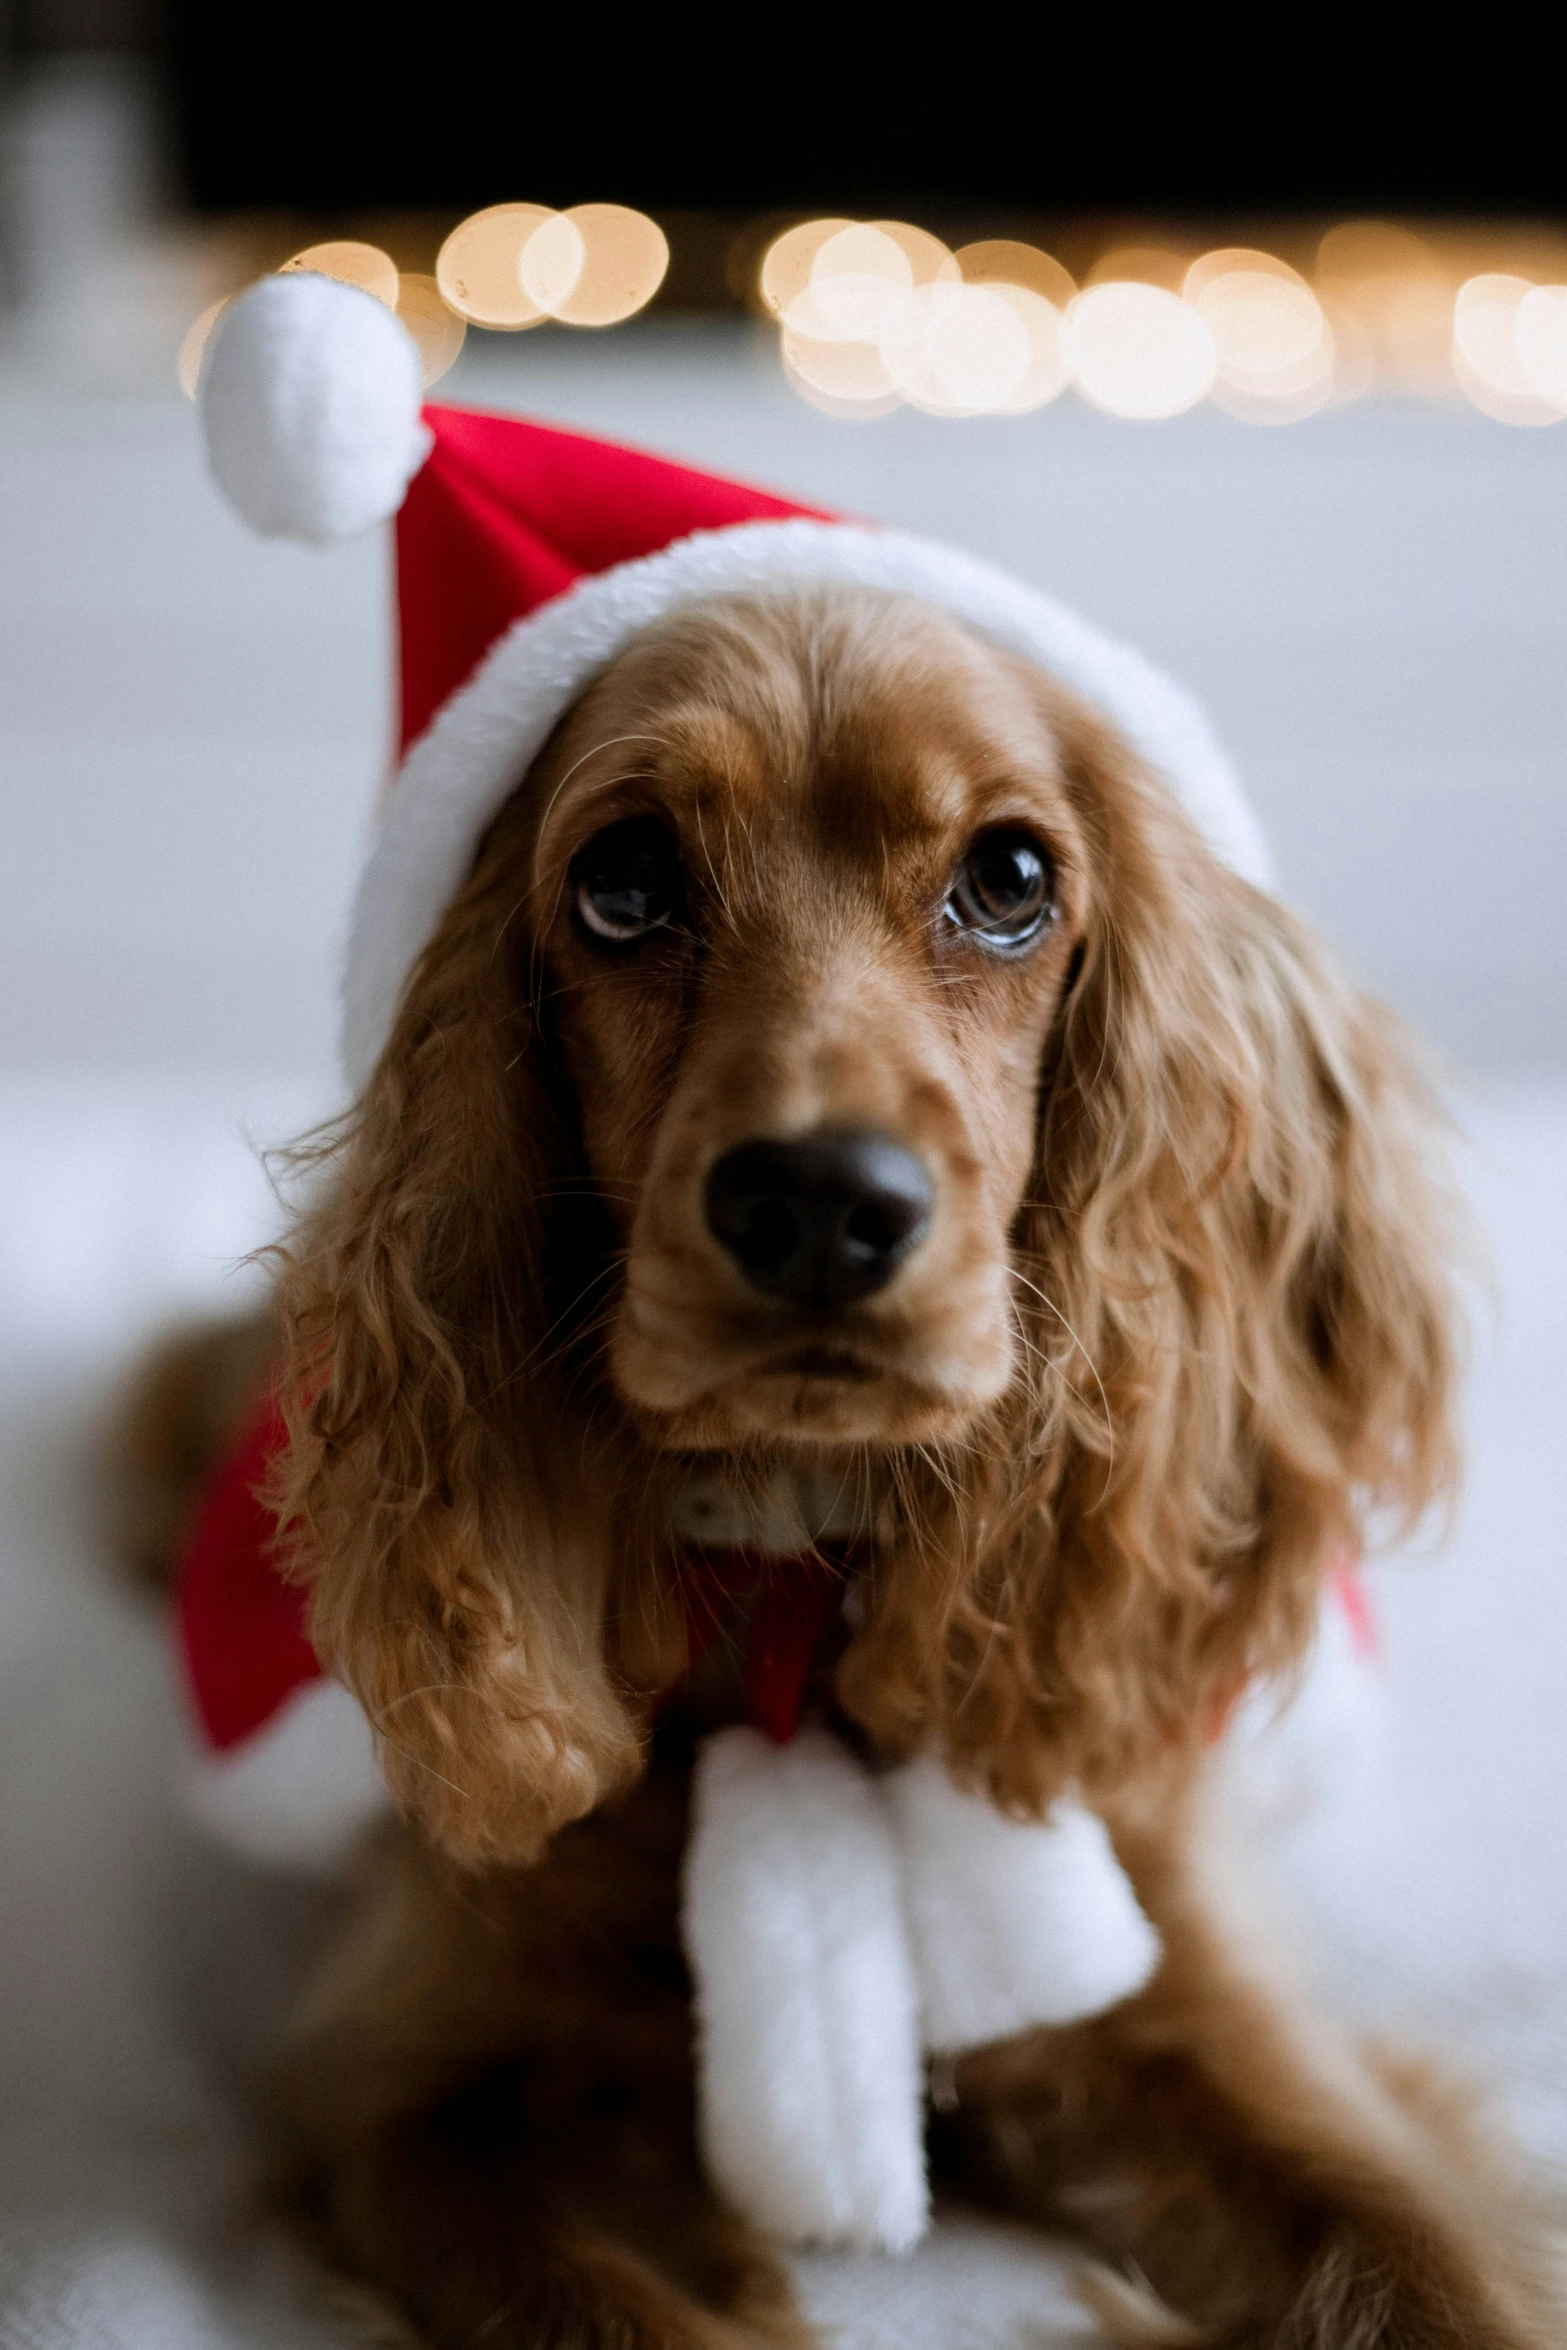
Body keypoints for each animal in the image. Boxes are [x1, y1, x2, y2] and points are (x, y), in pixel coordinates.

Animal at [162, 587, 1559, 2350]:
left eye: (1009, 877)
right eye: (622, 880)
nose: (819, 1204)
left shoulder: (1205, 1999)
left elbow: (1424, 2257)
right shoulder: (399, 2077)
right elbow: (589, 2299)